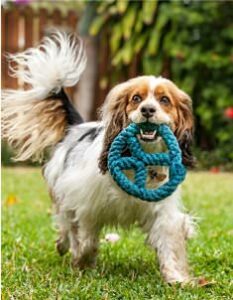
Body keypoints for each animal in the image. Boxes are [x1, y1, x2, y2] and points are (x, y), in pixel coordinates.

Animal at [2, 30, 196, 284]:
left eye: (164, 100)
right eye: (136, 98)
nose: (147, 110)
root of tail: (76, 127)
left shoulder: (162, 211)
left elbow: (169, 245)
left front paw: (177, 279)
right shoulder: (87, 207)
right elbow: (86, 241)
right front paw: (82, 262)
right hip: (62, 192)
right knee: (65, 222)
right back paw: (63, 245)